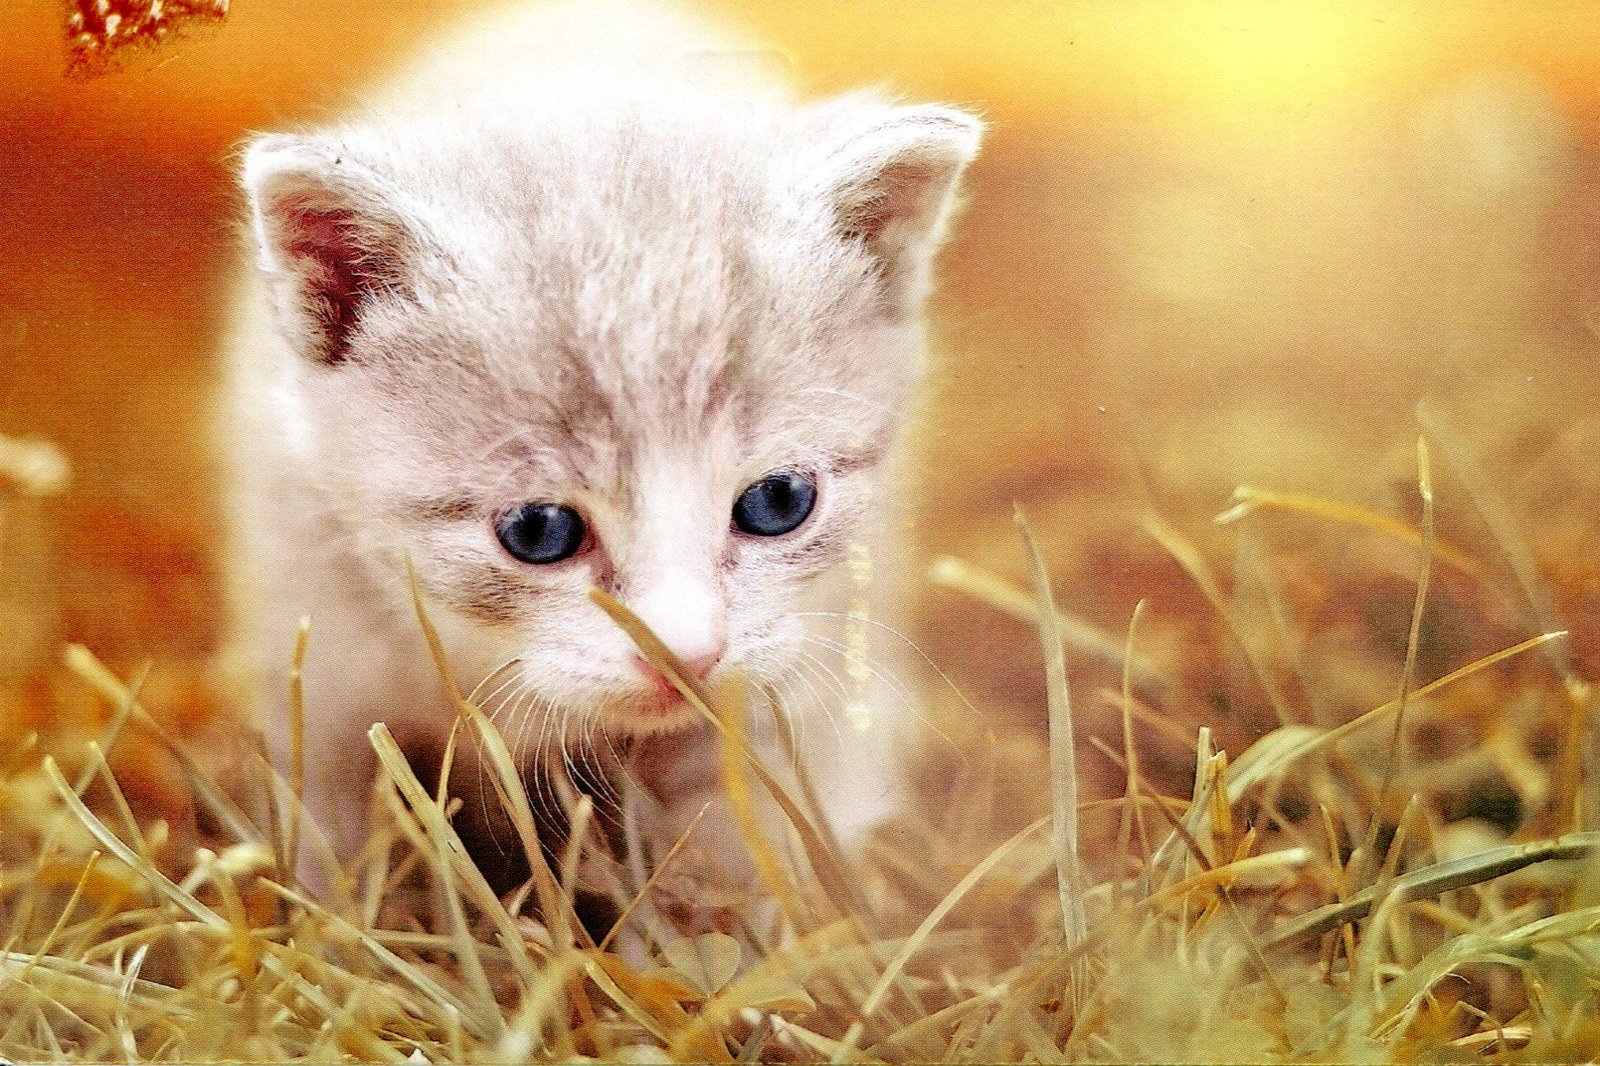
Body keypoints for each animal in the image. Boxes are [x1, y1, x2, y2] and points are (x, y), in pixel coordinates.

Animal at [219, 0, 980, 904]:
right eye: (539, 530)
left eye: (778, 503)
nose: (686, 657)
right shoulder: (313, 635)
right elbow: (327, 809)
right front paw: (329, 915)